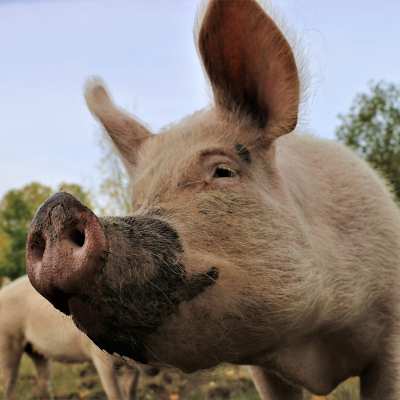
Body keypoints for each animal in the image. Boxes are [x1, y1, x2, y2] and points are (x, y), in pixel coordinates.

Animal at [0, 276, 159, 400]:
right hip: (8, 340)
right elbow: (114, 394)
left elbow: (131, 391)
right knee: (9, 382)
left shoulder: (133, 369)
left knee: (43, 380)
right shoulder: (101, 359)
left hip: (36, 351)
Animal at [25, 0, 400, 400]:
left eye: (222, 171)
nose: (53, 209)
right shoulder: (262, 367)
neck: (311, 349)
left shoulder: (390, 336)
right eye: (138, 199)